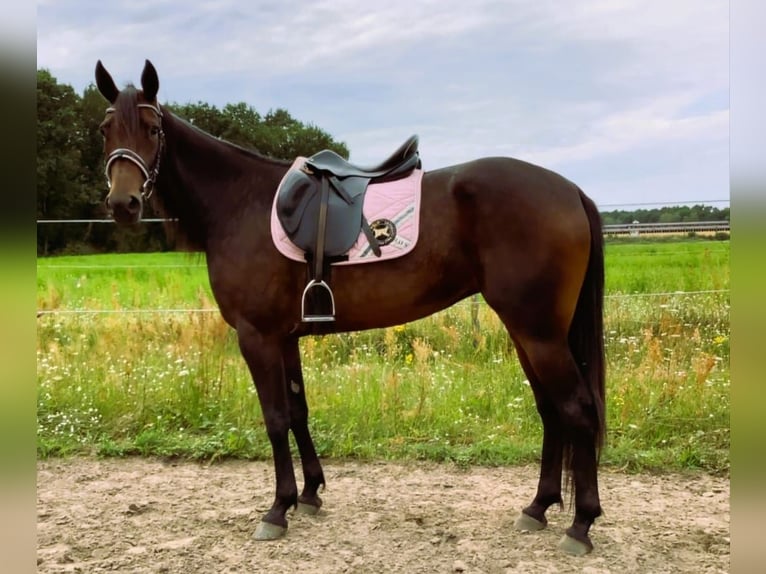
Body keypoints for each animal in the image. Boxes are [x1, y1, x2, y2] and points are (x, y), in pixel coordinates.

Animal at [94, 59, 608, 560]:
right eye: (104, 130)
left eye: (152, 130)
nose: (123, 203)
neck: (240, 203)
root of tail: (569, 190)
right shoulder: (284, 338)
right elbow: (297, 412)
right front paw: (309, 494)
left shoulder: (257, 336)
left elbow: (275, 418)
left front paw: (277, 510)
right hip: (529, 332)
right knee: (550, 410)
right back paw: (539, 507)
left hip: (539, 333)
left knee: (577, 408)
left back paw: (581, 524)